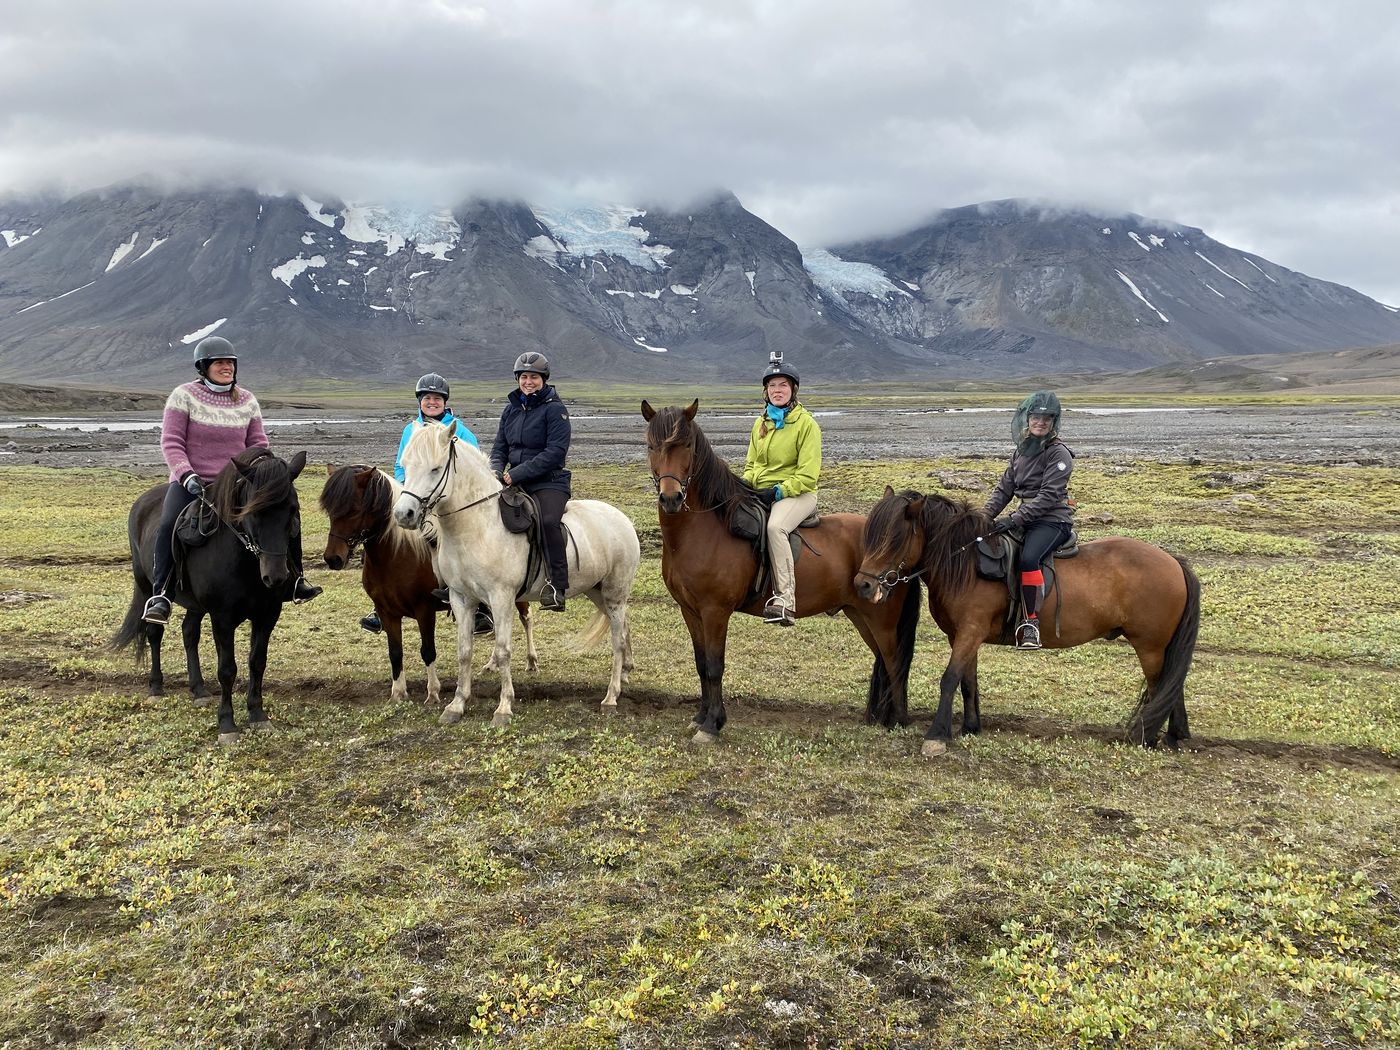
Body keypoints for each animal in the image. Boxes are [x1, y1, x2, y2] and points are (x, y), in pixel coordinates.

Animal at [113, 448, 308, 744]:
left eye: (293, 510)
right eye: (253, 512)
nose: (275, 577)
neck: (244, 561)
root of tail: (143, 502)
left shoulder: (267, 616)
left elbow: (257, 663)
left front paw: (257, 715)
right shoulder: (222, 618)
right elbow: (227, 669)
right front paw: (227, 724)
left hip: (195, 605)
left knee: (189, 632)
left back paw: (199, 690)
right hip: (147, 587)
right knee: (154, 632)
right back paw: (156, 687)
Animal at [320, 467, 537, 708]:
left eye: (354, 510)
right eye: (330, 510)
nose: (333, 559)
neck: (397, 554)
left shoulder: (424, 610)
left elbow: (428, 651)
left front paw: (433, 693)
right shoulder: (387, 612)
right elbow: (395, 652)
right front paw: (398, 693)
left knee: (526, 619)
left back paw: (531, 660)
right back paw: (492, 664)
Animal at [389, 422, 641, 728]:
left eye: (436, 469)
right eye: (405, 465)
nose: (404, 514)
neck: (477, 527)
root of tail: (622, 519)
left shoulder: (501, 599)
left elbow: (503, 650)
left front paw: (504, 707)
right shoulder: (461, 599)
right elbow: (464, 651)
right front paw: (456, 705)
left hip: (615, 594)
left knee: (617, 640)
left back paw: (611, 696)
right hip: (598, 592)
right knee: (624, 627)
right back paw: (626, 672)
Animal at [641, 397, 924, 744]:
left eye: (686, 445)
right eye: (652, 445)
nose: (671, 498)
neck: (704, 528)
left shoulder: (715, 611)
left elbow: (715, 666)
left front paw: (712, 725)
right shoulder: (690, 610)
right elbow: (700, 663)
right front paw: (700, 717)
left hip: (882, 619)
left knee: (894, 661)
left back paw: (897, 720)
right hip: (860, 614)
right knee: (883, 659)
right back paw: (880, 717)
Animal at [851, 490, 1204, 761]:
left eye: (894, 539)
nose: (863, 586)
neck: (967, 564)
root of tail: (1174, 562)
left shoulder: (970, 632)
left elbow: (949, 679)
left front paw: (937, 735)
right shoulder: (963, 636)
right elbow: (968, 681)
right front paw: (971, 727)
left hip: (1150, 646)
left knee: (1161, 686)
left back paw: (1148, 736)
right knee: (1172, 685)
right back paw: (1175, 736)